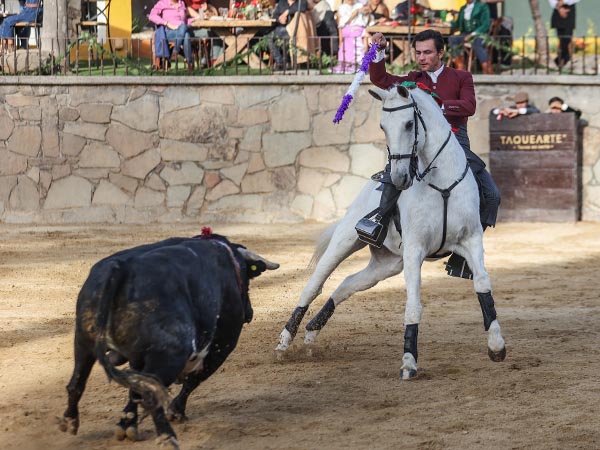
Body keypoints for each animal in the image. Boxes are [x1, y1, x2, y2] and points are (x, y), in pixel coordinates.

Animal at [58, 234, 278, 448]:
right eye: (247, 279)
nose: (249, 313)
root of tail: (122, 267)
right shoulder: (222, 346)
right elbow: (194, 379)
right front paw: (176, 411)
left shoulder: (138, 359)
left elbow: (135, 389)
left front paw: (128, 423)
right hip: (171, 354)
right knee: (150, 395)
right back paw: (167, 437)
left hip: (83, 341)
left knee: (77, 382)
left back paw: (73, 421)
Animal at [276, 84, 506, 380]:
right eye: (382, 126)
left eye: (409, 124)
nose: (398, 178)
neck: (441, 183)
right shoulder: (415, 250)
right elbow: (413, 305)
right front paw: (408, 362)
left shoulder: (471, 240)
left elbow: (483, 286)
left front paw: (497, 345)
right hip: (346, 240)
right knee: (313, 285)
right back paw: (284, 341)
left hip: (387, 264)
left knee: (346, 284)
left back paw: (311, 333)